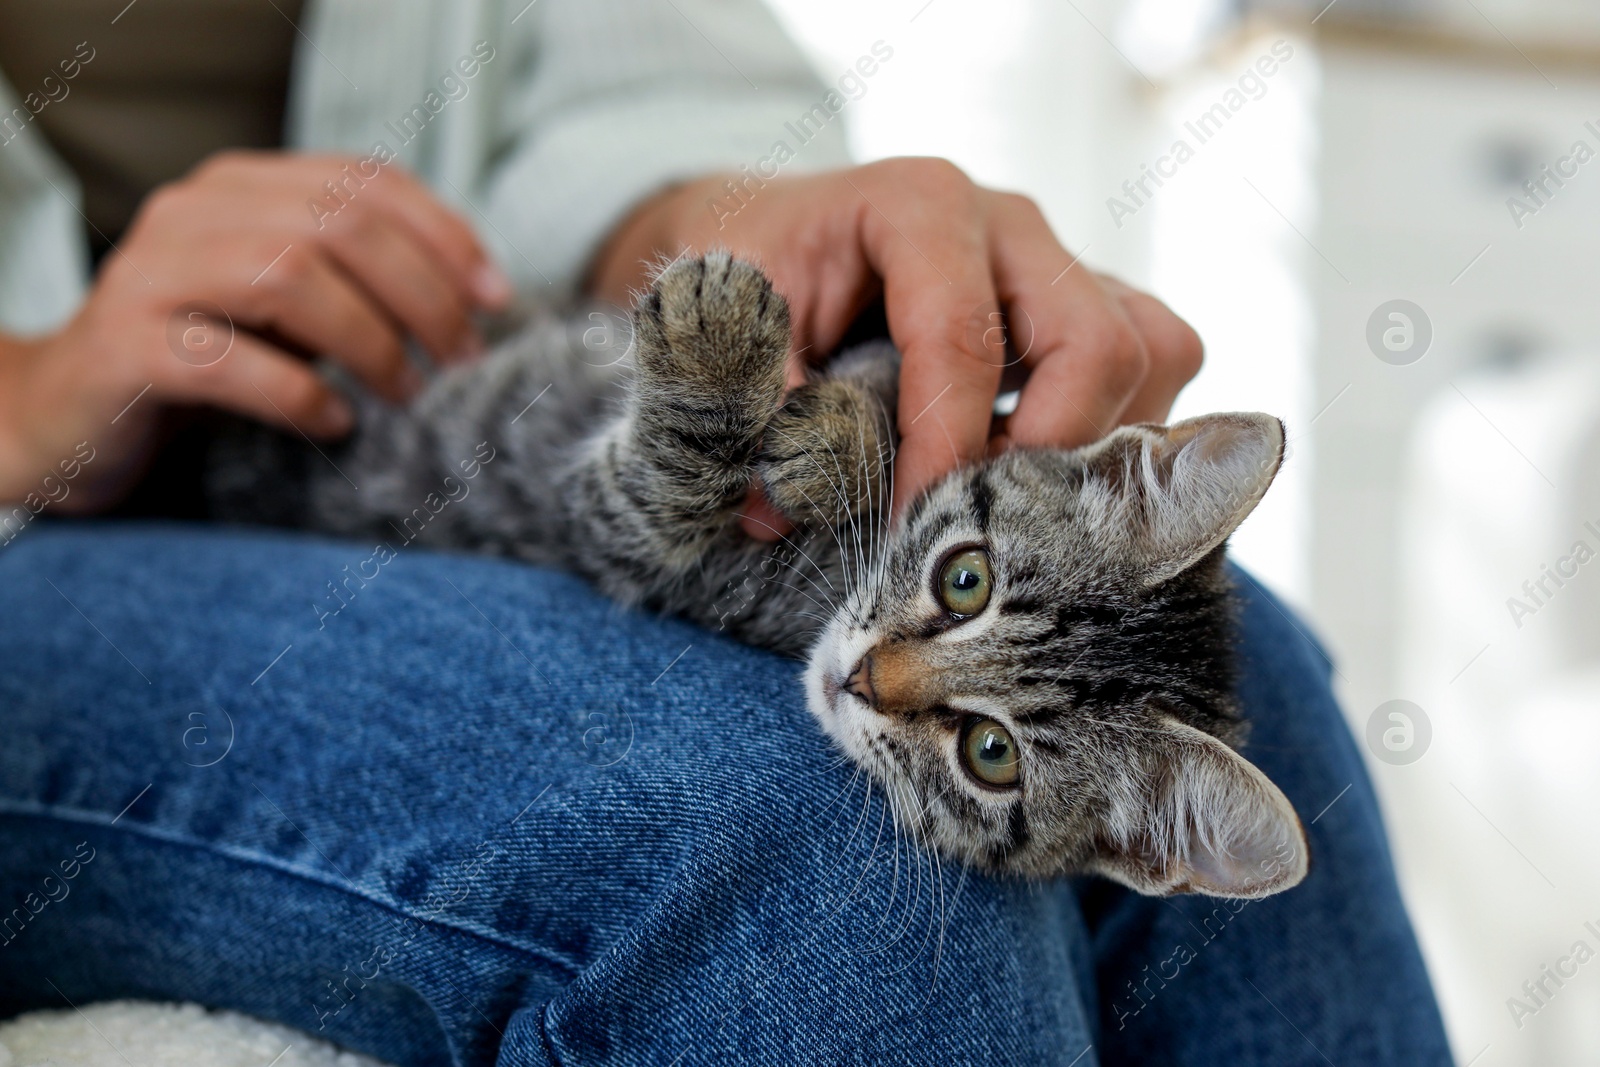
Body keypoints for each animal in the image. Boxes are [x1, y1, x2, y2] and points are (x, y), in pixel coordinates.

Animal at [216, 252, 1312, 902]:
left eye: (990, 753)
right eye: (965, 578)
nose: (863, 676)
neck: (816, 587)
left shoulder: (621, 544)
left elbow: (652, 494)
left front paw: (717, 374)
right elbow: (882, 358)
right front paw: (838, 425)